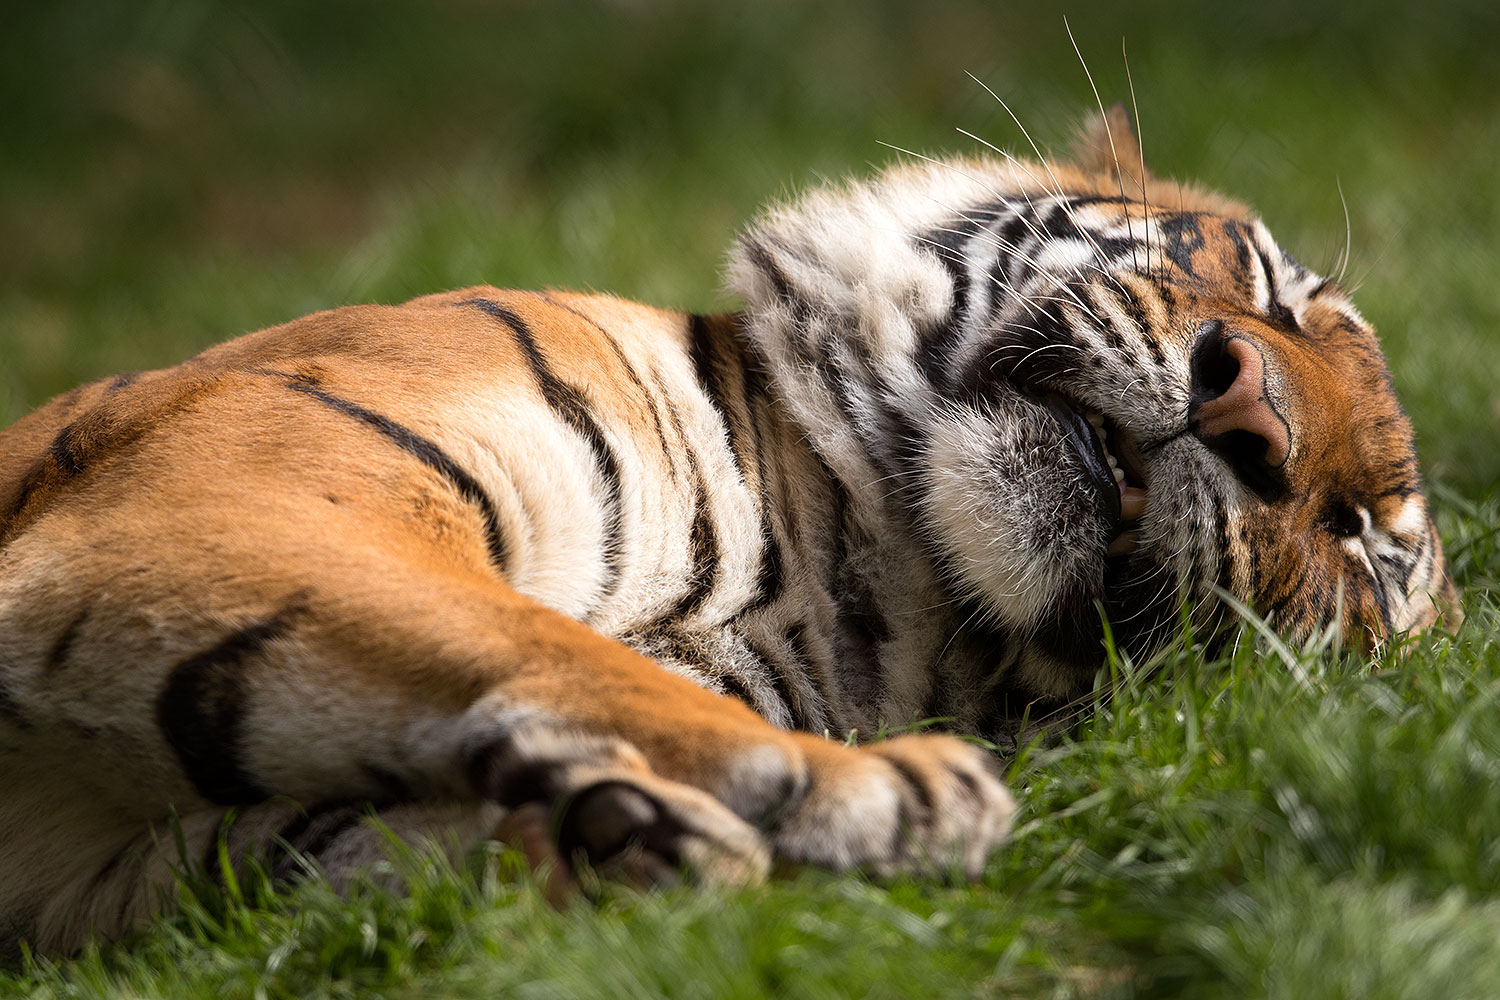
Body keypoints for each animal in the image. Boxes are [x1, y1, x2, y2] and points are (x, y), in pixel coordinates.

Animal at [0, 108, 1460, 955]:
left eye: (1360, 542)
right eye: (1265, 288)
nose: (1250, 408)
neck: (860, 571)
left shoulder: (185, 858)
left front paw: (618, 832)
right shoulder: (234, 483)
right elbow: (555, 647)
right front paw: (883, 791)